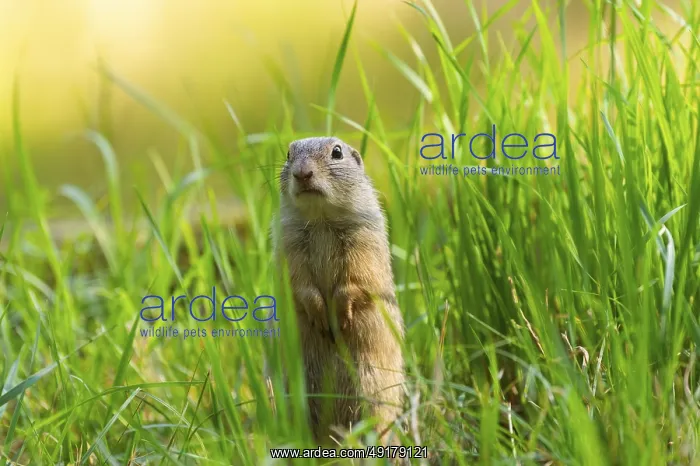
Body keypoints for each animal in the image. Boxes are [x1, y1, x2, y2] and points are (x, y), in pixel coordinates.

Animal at [275, 136, 405, 445]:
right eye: (288, 154)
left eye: (337, 152)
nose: (302, 173)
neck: (321, 219)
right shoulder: (289, 243)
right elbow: (299, 281)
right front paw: (320, 315)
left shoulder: (363, 237)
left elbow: (357, 276)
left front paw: (340, 314)